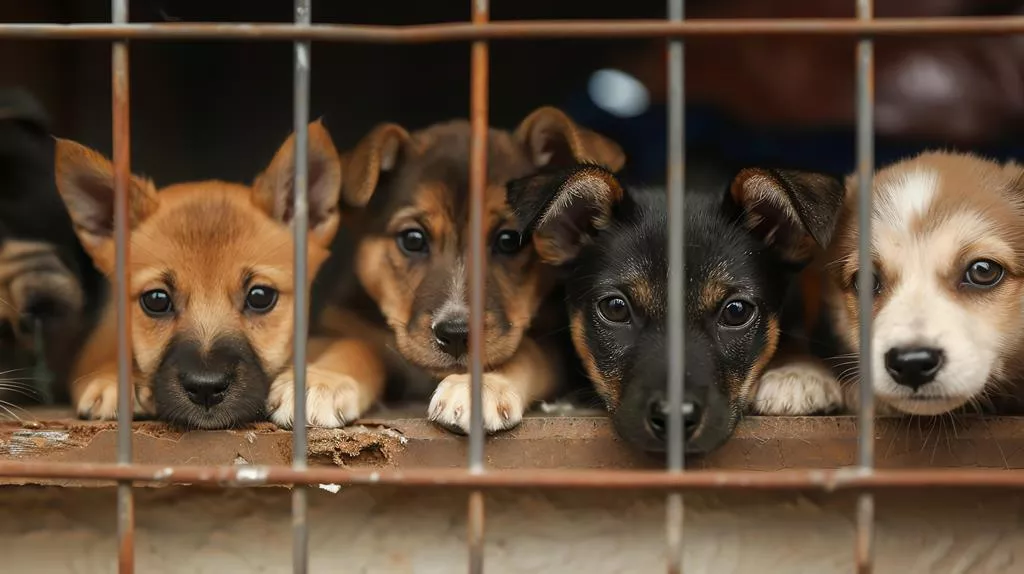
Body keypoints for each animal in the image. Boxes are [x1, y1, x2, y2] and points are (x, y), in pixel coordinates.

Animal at [313, 105, 622, 431]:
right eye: (412, 239)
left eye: (509, 241)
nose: (456, 335)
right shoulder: (341, 324)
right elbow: (353, 344)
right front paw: (326, 380)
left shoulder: (553, 345)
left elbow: (524, 352)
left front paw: (480, 386)